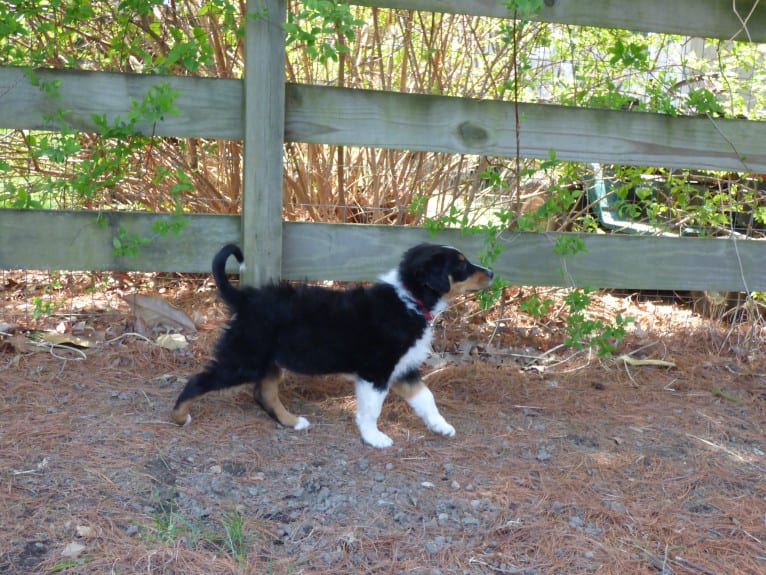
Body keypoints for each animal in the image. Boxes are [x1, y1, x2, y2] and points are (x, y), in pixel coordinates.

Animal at [172, 241, 498, 448]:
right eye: (461, 266)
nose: (492, 272)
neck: (411, 300)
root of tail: (245, 298)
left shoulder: (404, 370)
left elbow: (426, 398)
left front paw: (440, 426)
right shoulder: (376, 372)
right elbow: (371, 410)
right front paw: (375, 438)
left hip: (270, 361)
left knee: (263, 393)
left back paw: (292, 422)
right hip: (244, 359)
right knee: (198, 381)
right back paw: (179, 415)